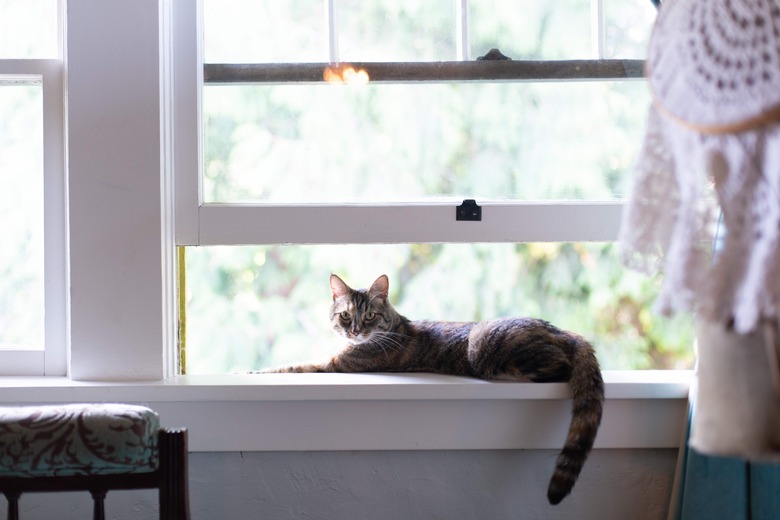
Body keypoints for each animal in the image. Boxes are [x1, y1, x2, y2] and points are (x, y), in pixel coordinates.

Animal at [262, 272, 604, 504]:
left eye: (369, 315)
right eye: (345, 315)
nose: (355, 331)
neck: (391, 327)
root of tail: (567, 332)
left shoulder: (335, 364)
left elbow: (290, 367)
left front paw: (257, 370)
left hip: (485, 344)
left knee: (559, 369)